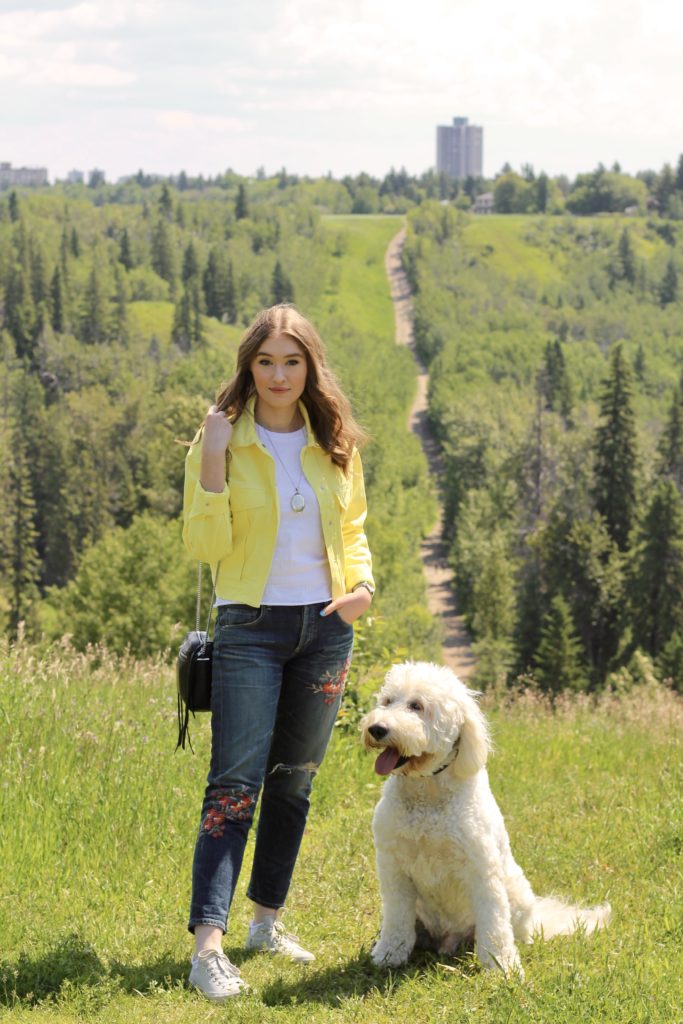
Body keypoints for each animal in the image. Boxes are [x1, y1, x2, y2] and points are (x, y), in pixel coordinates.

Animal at [360, 663, 610, 974]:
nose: (377, 728)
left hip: (517, 896)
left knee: (514, 929)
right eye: (387, 701)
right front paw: (388, 954)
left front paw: (502, 965)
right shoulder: (394, 870)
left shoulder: (481, 868)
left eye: (417, 705)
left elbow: (494, 924)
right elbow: (396, 920)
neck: (428, 792)